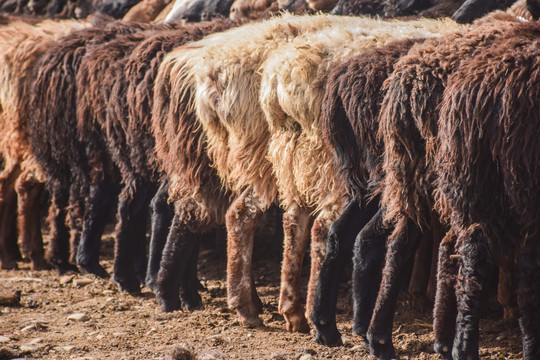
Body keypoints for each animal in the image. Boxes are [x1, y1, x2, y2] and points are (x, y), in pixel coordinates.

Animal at [0, 18, 85, 268]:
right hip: (37, 140)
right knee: (26, 187)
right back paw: (37, 256)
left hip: (20, 136)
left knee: (8, 182)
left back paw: (10, 255)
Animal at [434, 19, 540, 360]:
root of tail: (491, 87)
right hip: (526, 181)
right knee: (529, 268)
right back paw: (532, 345)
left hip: (470, 178)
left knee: (471, 261)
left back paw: (463, 345)